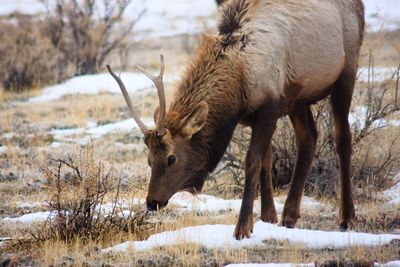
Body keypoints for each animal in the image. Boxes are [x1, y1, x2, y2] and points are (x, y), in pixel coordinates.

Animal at [107, 0, 366, 241]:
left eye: (172, 158)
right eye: (149, 159)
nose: (152, 202)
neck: (239, 82)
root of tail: (360, 7)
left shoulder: (270, 106)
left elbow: (252, 161)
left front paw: (243, 228)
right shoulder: (255, 114)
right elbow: (266, 160)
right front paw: (268, 218)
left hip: (346, 71)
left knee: (343, 139)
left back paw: (347, 217)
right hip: (298, 99)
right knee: (309, 139)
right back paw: (290, 216)